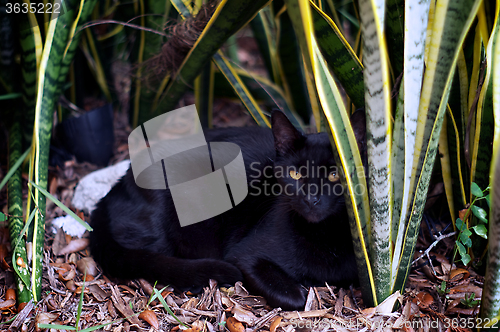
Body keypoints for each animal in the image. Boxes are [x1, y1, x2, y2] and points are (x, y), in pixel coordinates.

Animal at [89, 110, 364, 310]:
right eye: (295, 174)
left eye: (334, 175)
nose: (311, 198)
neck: (323, 235)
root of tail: (114, 190)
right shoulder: (245, 256)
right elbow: (294, 297)